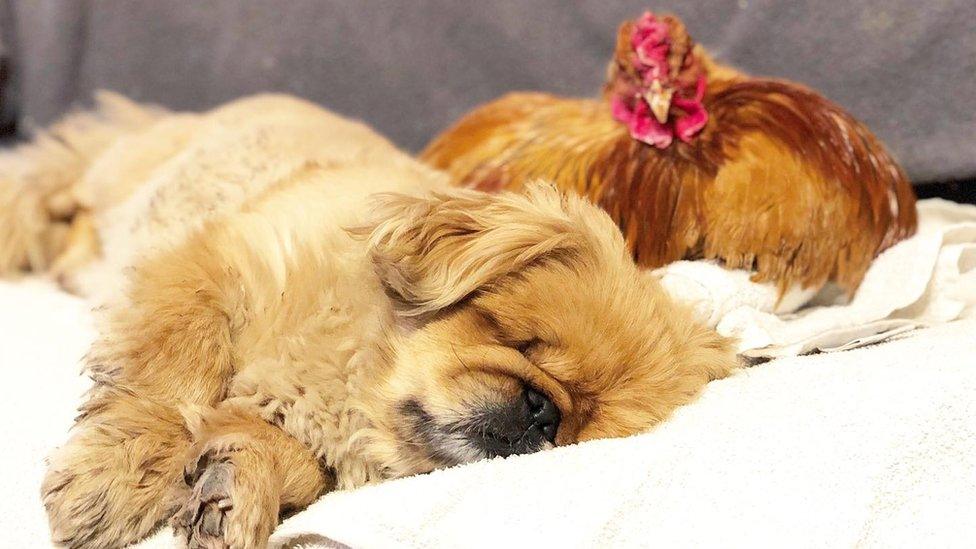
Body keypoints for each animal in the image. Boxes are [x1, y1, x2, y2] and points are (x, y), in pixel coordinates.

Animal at [0, 92, 740, 544]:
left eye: (578, 432)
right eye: (518, 339)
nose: (543, 413)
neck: (362, 371)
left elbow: (290, 460)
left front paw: (234, 487)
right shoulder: (209, 264)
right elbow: (170, 380)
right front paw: (119, 476)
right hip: (114, 176)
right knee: (54, 190)